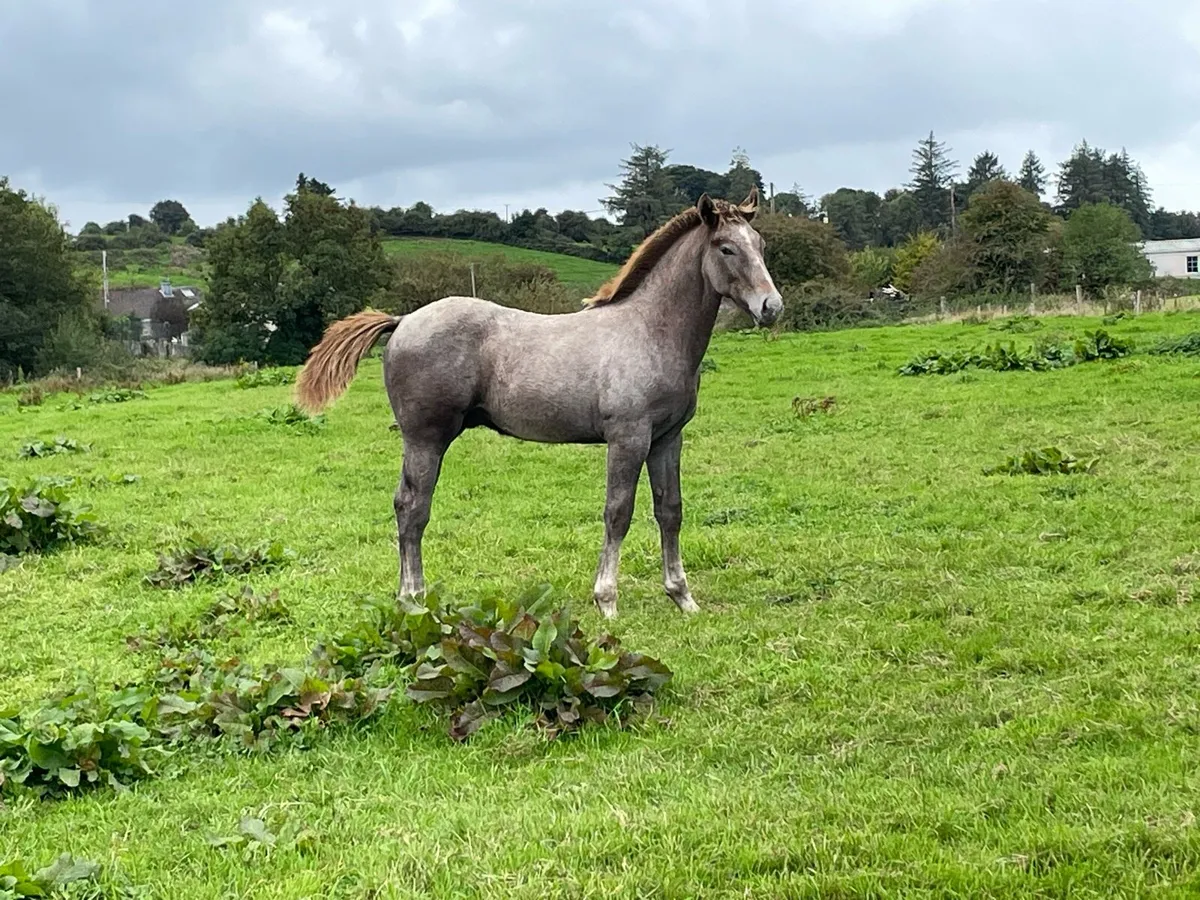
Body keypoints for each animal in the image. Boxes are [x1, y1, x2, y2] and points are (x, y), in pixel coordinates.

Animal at [295, 188, 782, 618]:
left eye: (759, 245)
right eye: (725, 248)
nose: (771, 307)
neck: (649, 331)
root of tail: (403, 320)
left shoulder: (667, 439)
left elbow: (670, 511)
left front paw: (682, 598)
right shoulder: (627, 439)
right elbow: (618, 513)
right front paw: (607, 601)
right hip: (425, 439)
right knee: (412, 509)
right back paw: (412, 598)